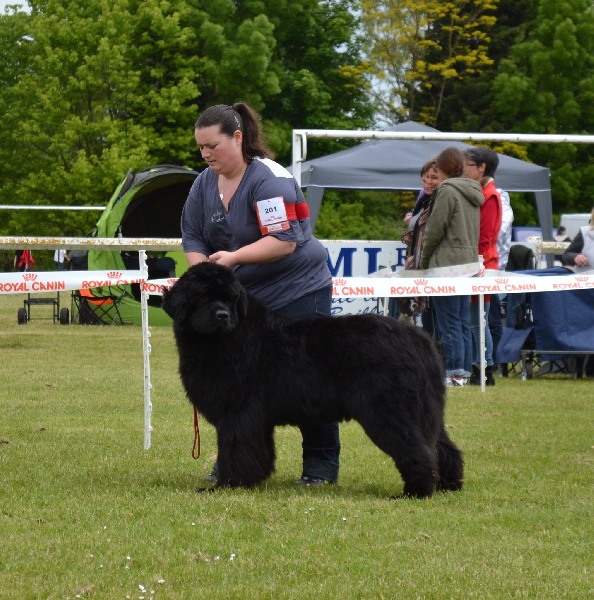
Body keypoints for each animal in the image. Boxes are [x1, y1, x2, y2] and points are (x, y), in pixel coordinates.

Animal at [162, 262, 462, 496]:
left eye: (229, 299)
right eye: (203, 298)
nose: (222, 315)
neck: (229, 338)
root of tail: (418, 339)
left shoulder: (239, 414)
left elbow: (236, 451)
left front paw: (227, 485)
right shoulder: (256, 419)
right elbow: (258, 452)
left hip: (389, 410)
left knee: (417, 448)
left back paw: (416, 492)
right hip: (424, 410)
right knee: (442, 446)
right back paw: (449, 485)